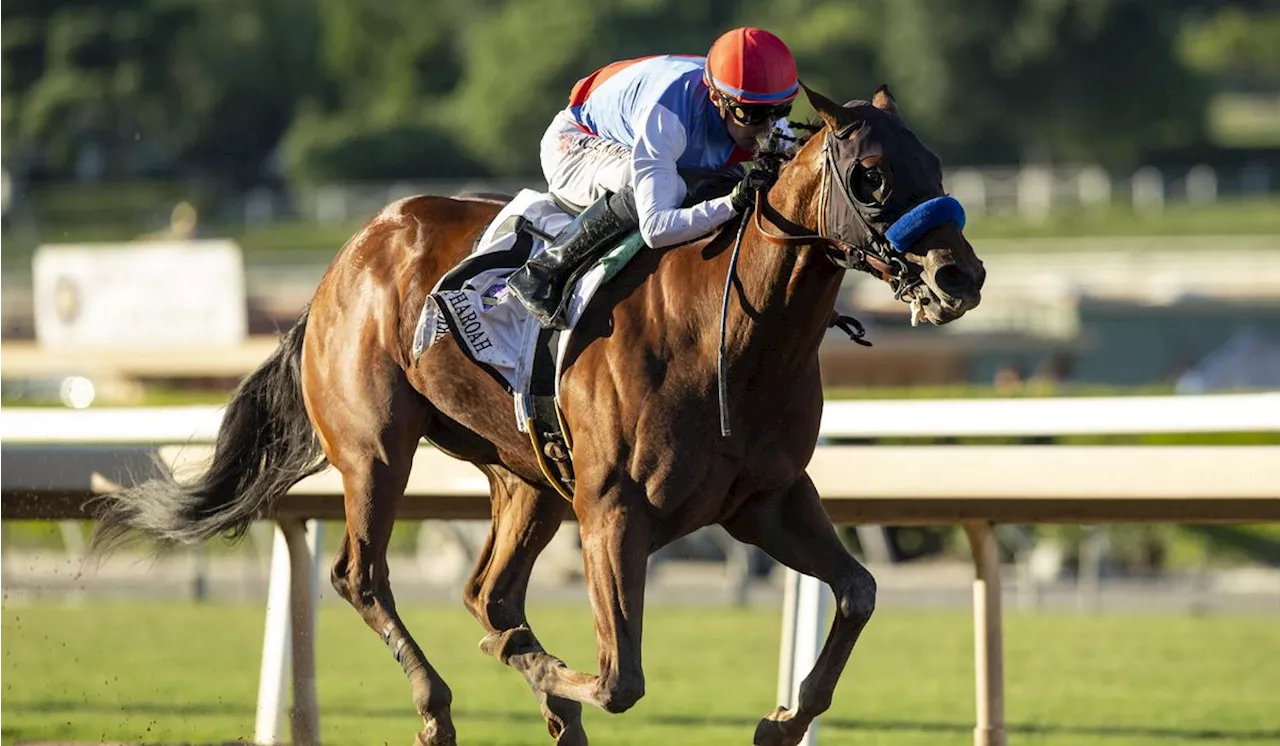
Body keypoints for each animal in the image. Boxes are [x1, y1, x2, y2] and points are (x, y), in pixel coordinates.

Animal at [90, 84, 983, 742]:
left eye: (936, 162)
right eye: (870, 174)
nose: (960, 276)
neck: (729, 334)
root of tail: (346, 258)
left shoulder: (765, 499)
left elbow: (860, 591)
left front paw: (783, 720)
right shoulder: (613, 510)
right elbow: (620, 678)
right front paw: (547, 670)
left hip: (528, 476)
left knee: (489, 593)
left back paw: (538, 690)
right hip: (377, 450)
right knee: (363, 576)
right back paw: (443, 707)